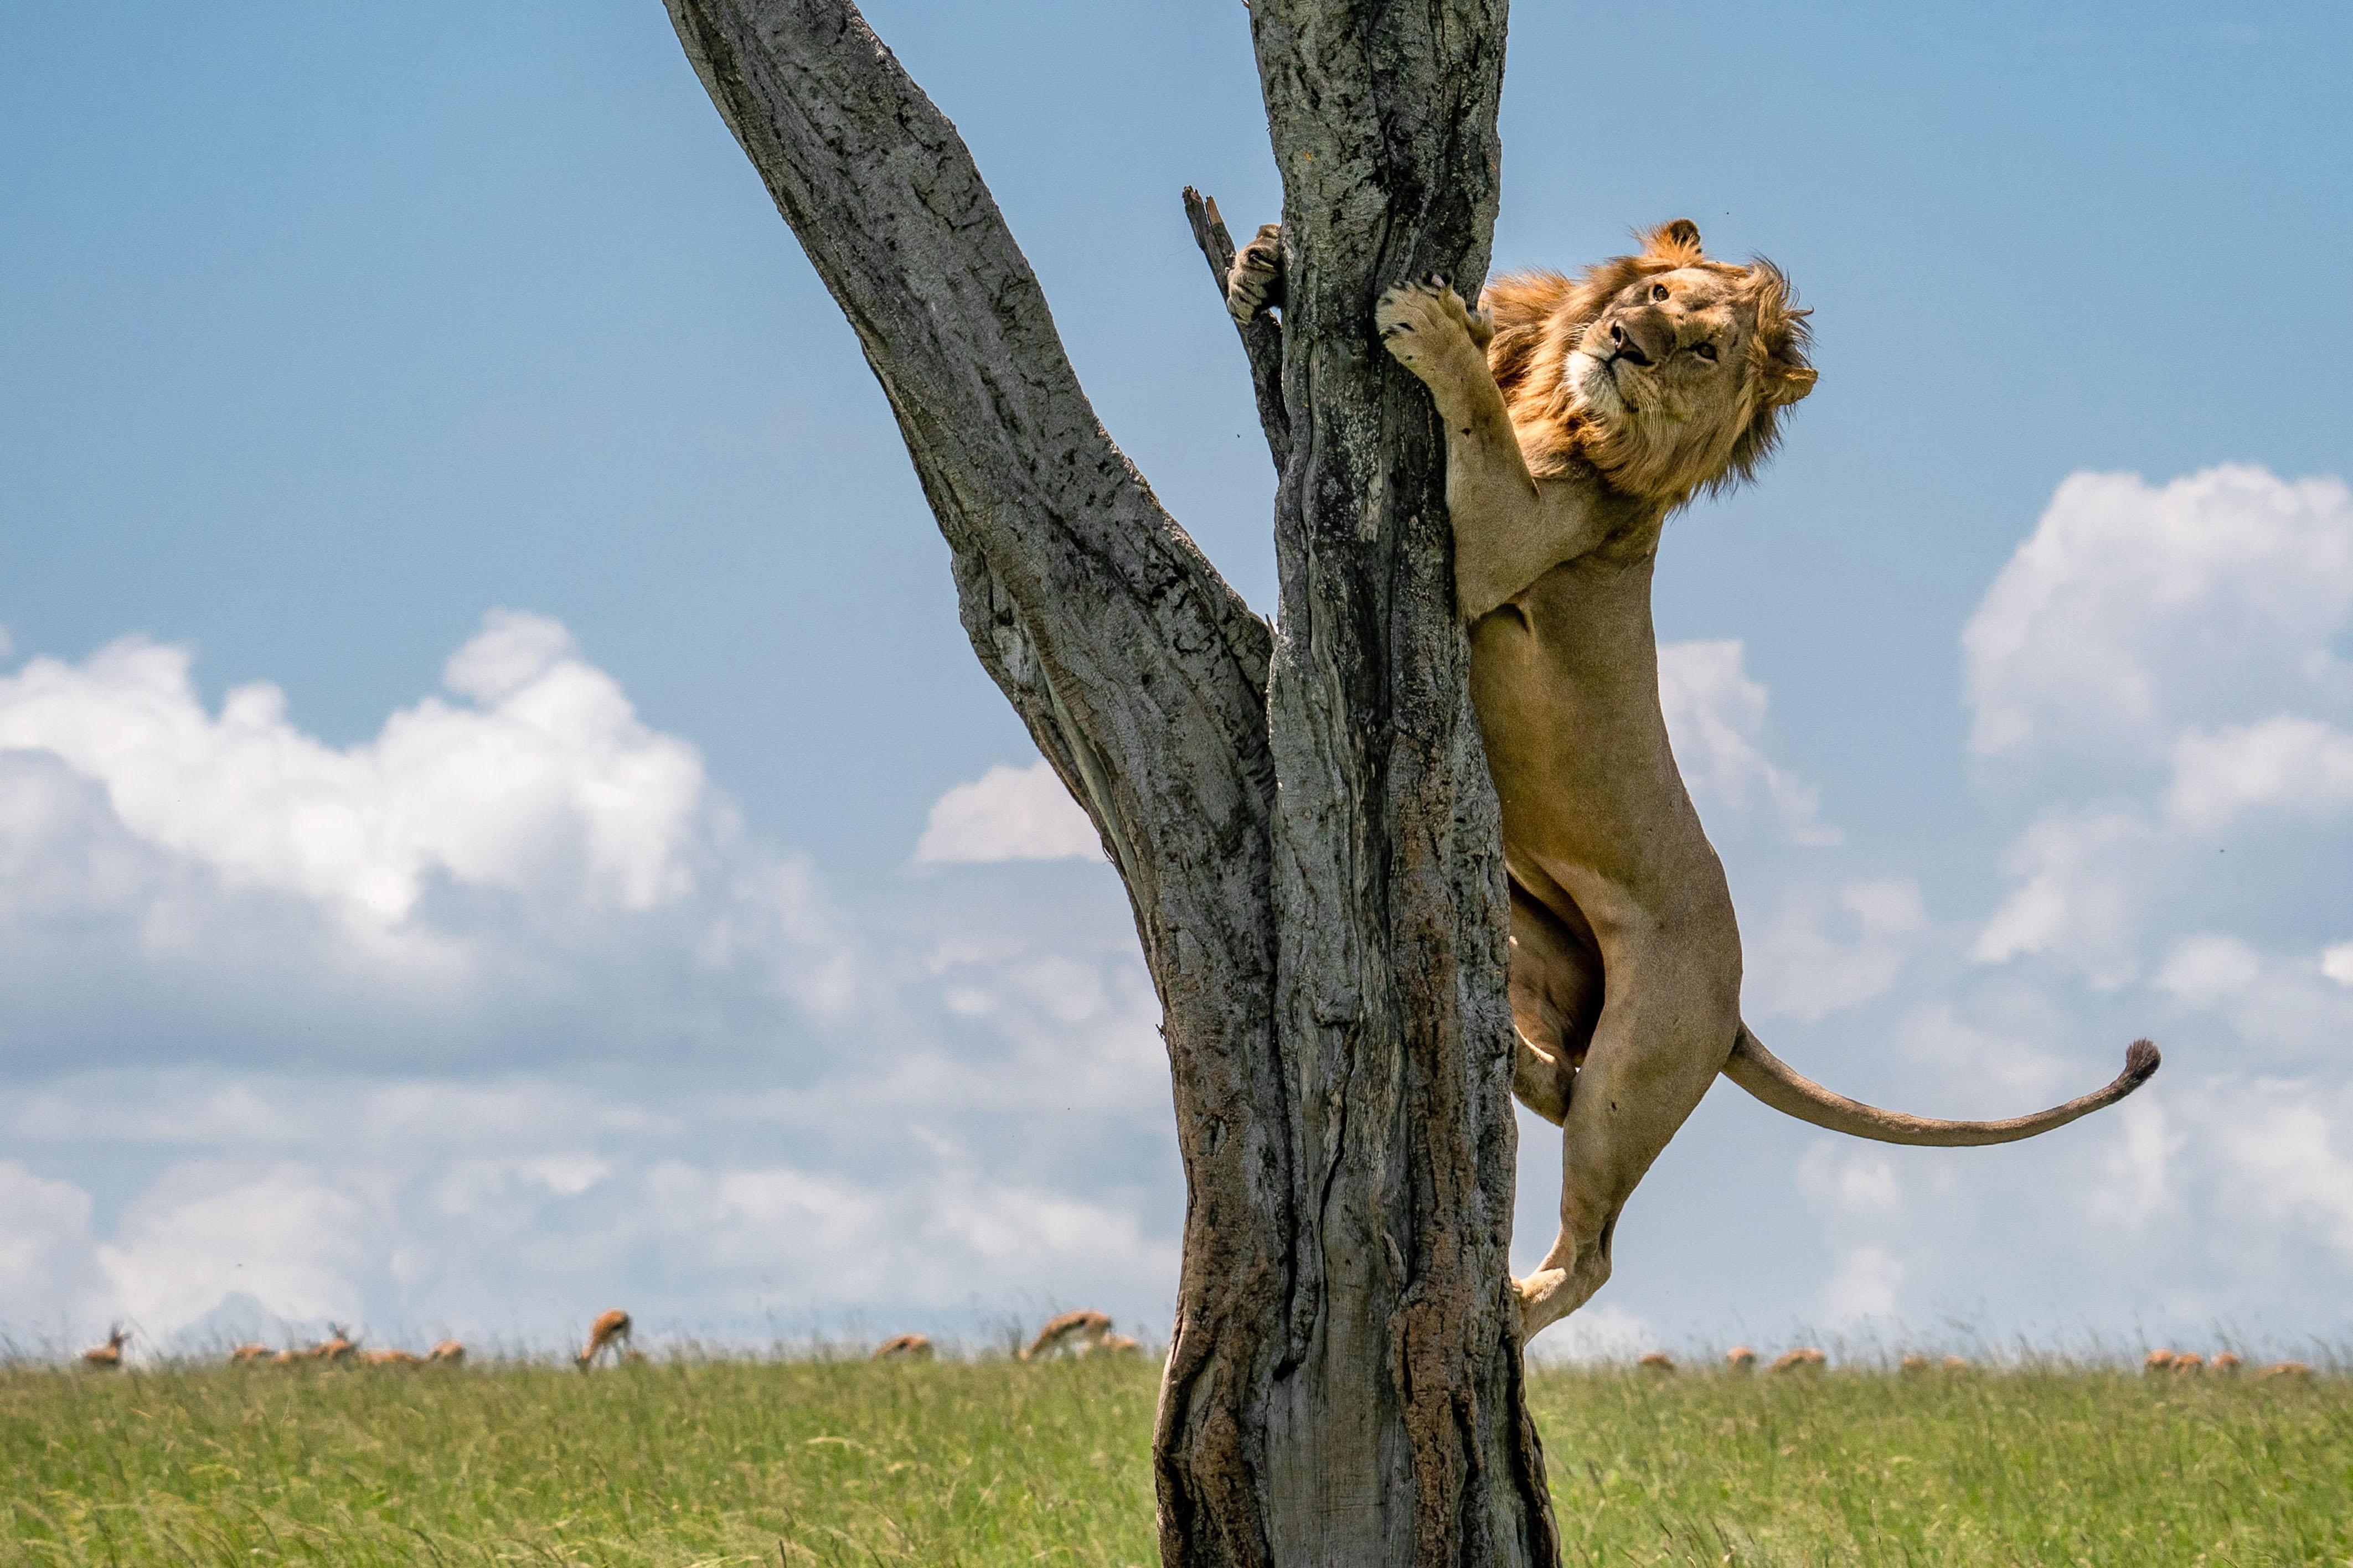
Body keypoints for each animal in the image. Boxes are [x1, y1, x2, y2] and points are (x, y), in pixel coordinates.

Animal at [1233, 221, 2165, 1344]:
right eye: (1659, 295)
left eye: (1704, 349)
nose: (1625, 343)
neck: (1556, 390)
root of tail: (1735, 1007)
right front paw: (1261, 264)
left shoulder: (1497, 548)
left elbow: (1480, 432)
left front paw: (1432, 327)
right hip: (1529, 944)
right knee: (1553, 1085)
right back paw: (1508, 1065)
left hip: (1644, 1059)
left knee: (1593, 1234)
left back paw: (1507, 1308)